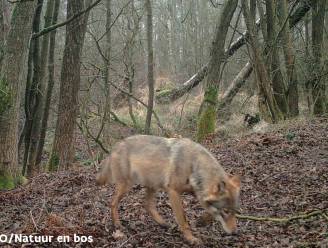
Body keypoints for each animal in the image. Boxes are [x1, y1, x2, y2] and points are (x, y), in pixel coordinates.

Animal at [96, 135, 240, 243]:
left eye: (235, 211)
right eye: (226, 211)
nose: (234, 233)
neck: (193, 164)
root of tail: (116, 146)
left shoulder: (195, 192)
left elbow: (209, 210)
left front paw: (201, 221)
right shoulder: (174, 192)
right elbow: (183, 219)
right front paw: (191, 239)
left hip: (152, 185)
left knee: (147, 205)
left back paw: (163, 224)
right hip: (127, 185)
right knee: (113, 203)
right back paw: (117, 225)